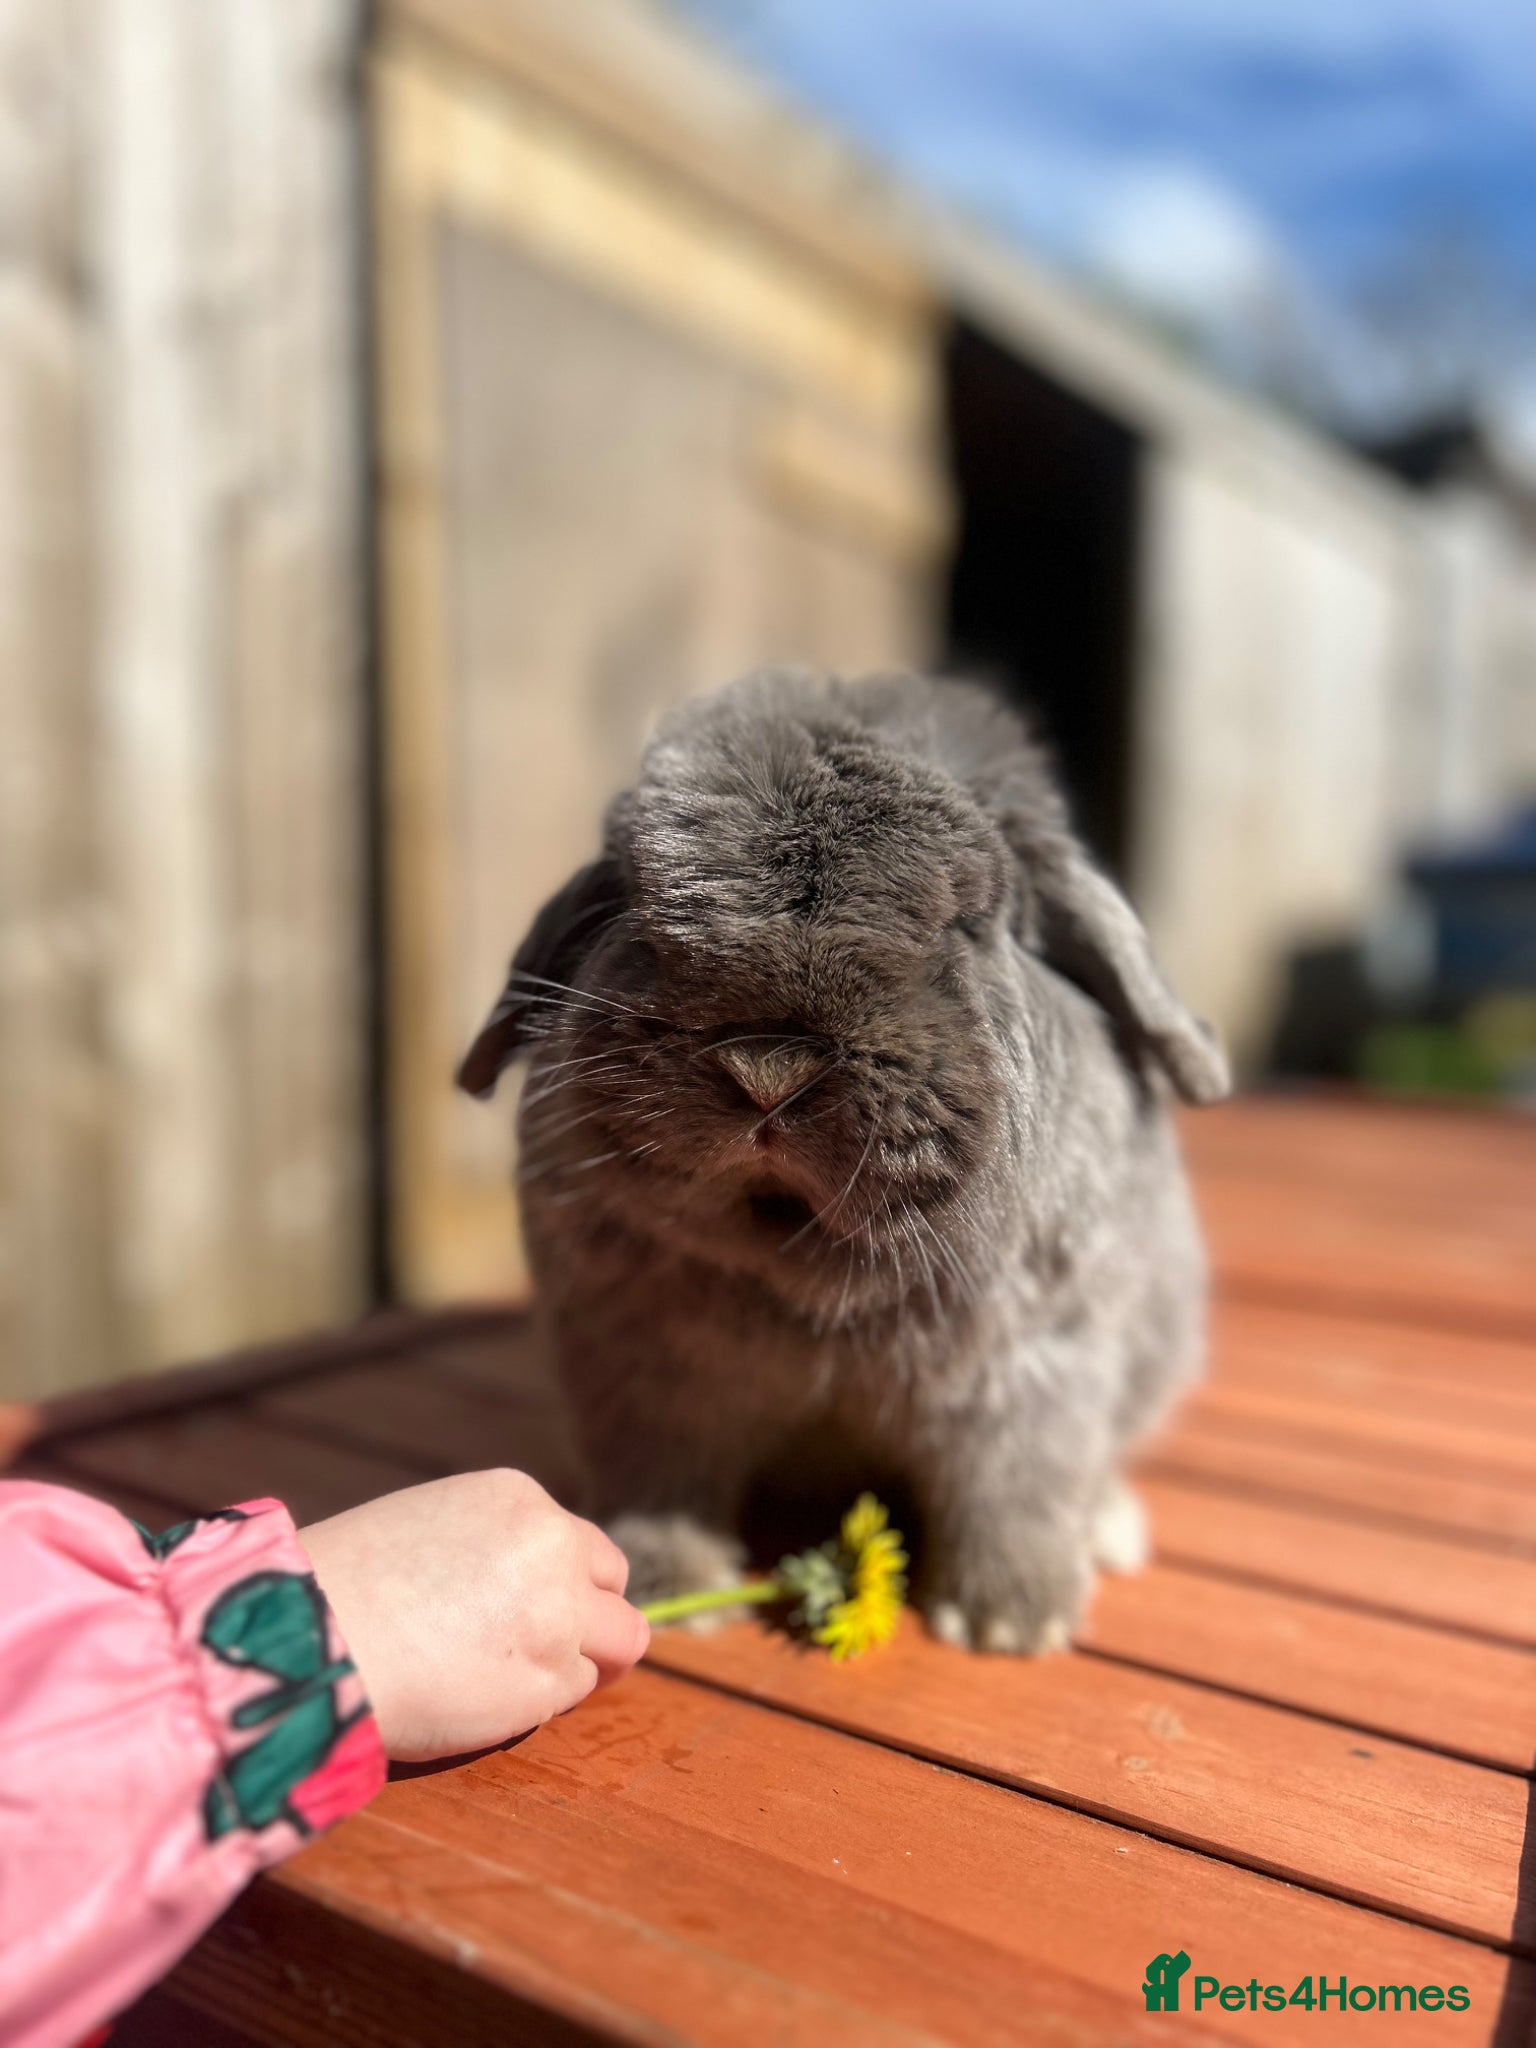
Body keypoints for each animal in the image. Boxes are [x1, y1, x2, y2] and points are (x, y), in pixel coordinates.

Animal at [458, 668, 1229, 1653]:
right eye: (637, 904)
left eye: (968, 921)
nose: (766, 1068)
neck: (806, 1271)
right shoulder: (644, 1378)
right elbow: (662, 1483)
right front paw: (669, 1589)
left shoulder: (1033, 1370)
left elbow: (1013, 1491)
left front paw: (1009, 1625)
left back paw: (1107, 1532)